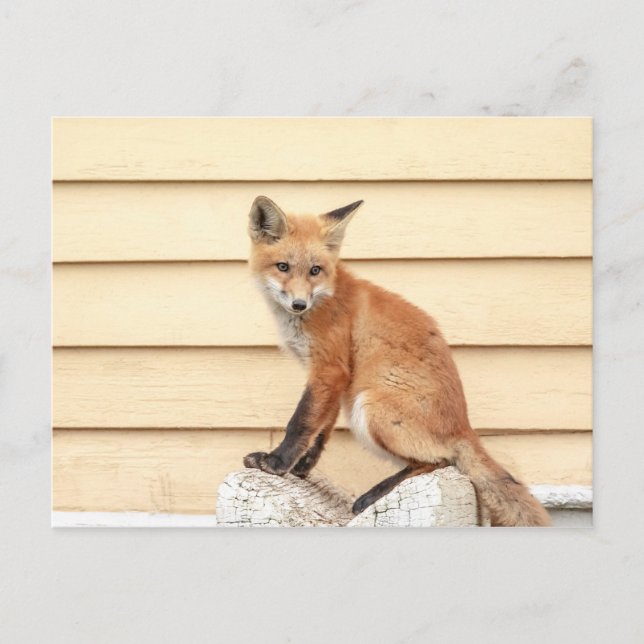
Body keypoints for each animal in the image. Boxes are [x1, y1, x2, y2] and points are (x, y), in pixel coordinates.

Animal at [242, 195, 551, 527]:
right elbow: (320, 429)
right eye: (283, 267)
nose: (299, 304)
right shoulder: (335, 378)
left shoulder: (329, 368)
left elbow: (300, 422)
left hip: (370, 408)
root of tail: (465, 428)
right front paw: (301, 468)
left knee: (441, 461)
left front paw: (276, 462)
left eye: (315, 270)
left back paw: (375, 493)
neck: (324, 298)